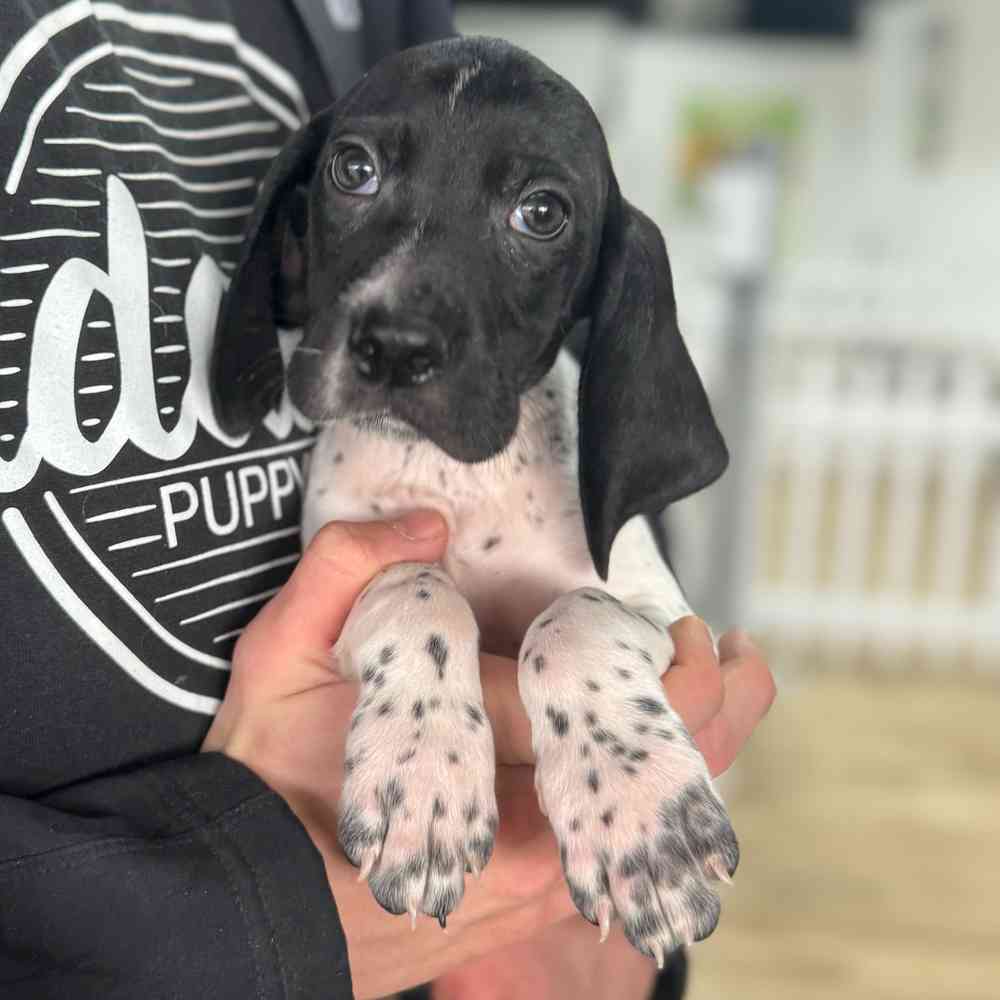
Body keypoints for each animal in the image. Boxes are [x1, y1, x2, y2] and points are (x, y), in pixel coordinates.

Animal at [215, 35, 740, 964]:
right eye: (353, 169)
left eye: (542, 213)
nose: (394, 346)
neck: (454, 477)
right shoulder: (341, 566)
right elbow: (417, 585)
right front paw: (421, 767)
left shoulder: (674, 620)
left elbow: (573, 620)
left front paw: (639, 810)